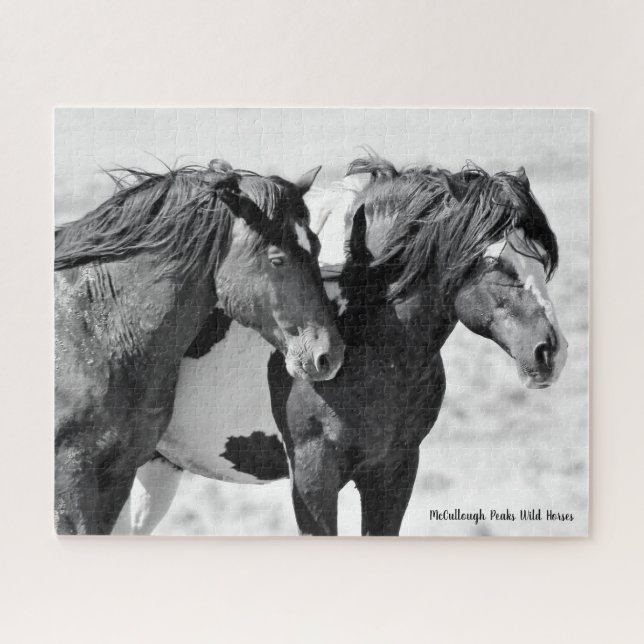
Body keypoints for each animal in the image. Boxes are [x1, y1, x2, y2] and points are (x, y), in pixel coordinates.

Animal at [55, 160, 345, 535]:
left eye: (317, 247)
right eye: (277, 259)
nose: (329, 355)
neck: (94, 326)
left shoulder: (118, 473)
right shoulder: (70, 474)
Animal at [114, 155, 568, 536]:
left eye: (541, 258)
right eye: (494, 260)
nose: (551, 352)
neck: (365, 337)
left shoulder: (394, 471)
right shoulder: (313, 475)